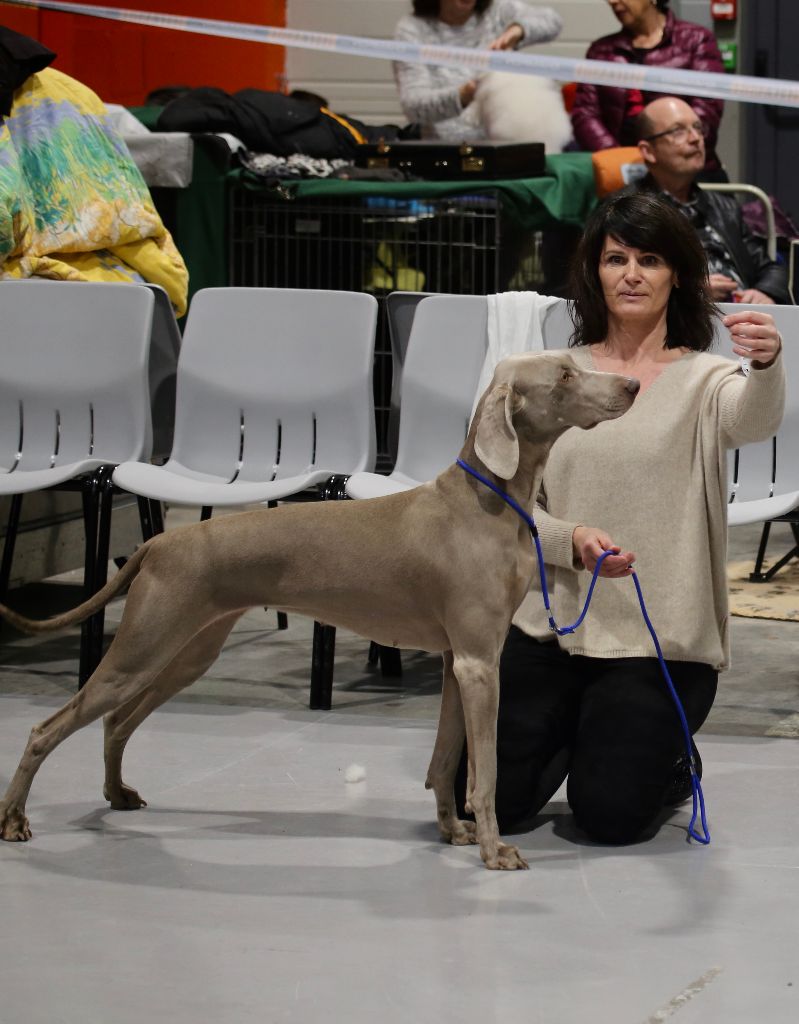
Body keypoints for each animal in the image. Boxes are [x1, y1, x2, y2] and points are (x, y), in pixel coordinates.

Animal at [0, 350, 635, 864]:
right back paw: (15, 819)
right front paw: (492, 849)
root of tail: (158, 543)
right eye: (564, 374)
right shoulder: (480, 664)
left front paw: (453, 831)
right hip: (144, 646)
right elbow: (483, 772)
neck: (488, 500)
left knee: (115, 722)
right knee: (48, 727)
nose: (631, 384)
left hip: (188, 651)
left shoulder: (461, 664)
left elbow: (444, 760)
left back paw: (116, 794)